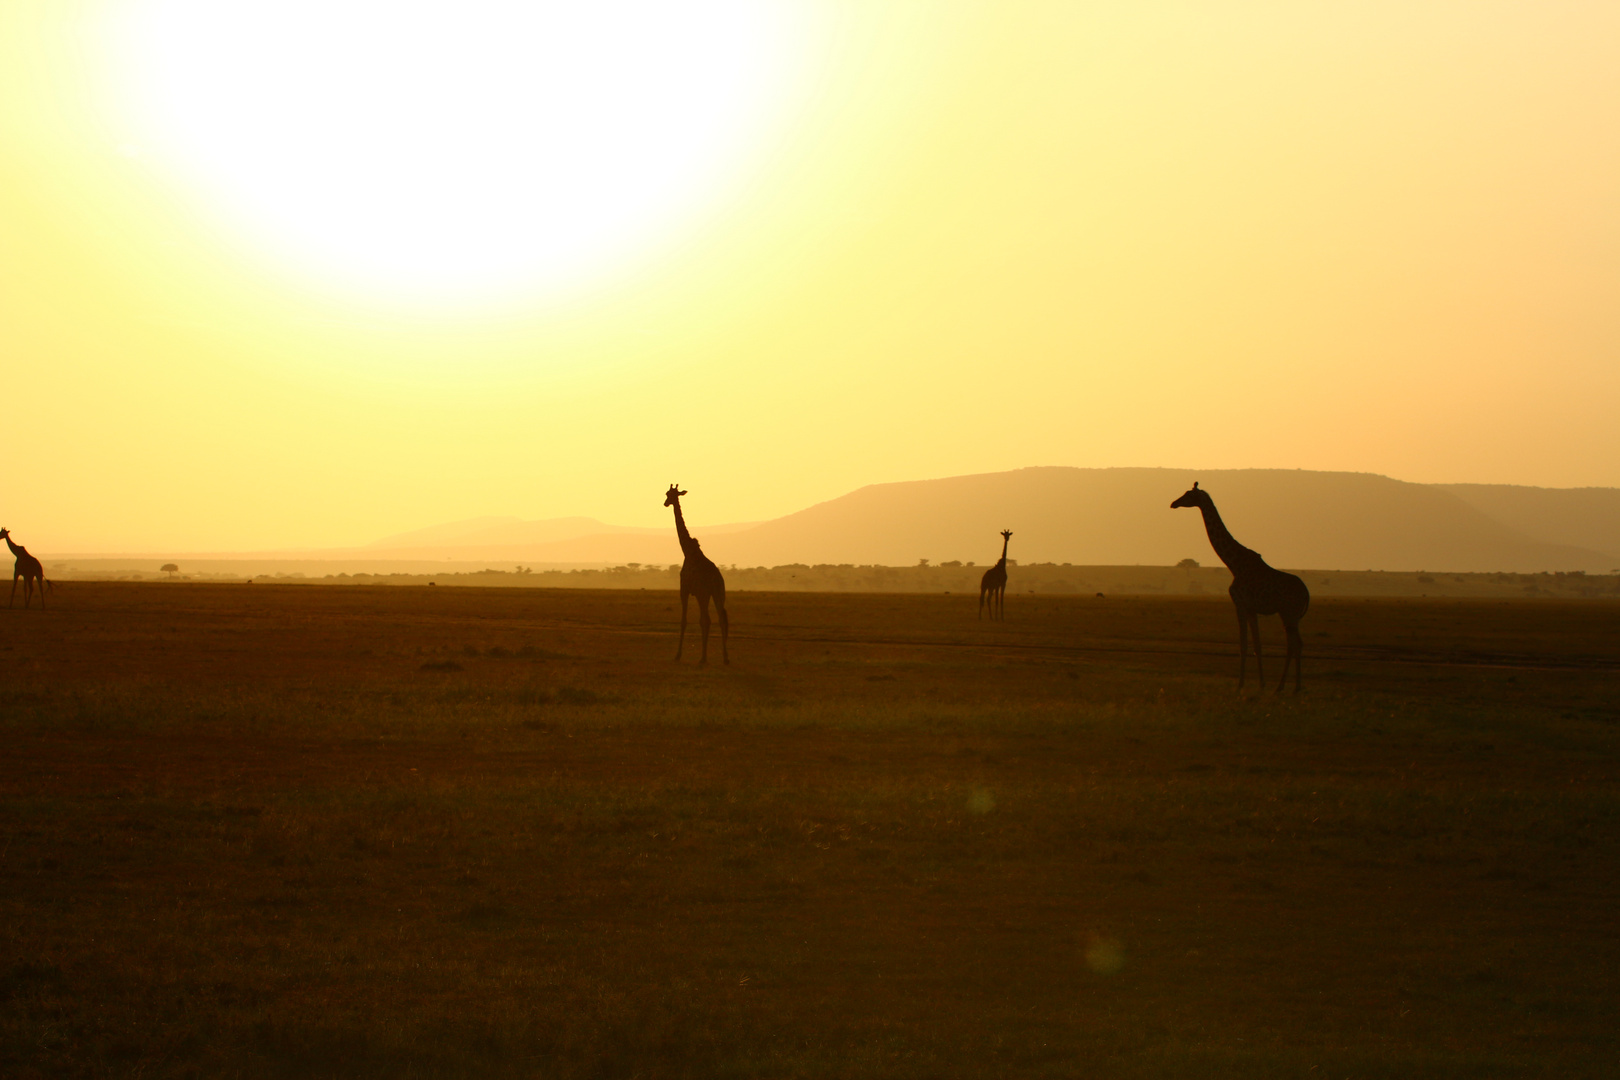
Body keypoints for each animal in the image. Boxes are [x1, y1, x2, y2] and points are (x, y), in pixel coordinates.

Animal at [660, 482, 732, 667]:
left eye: (671, 495)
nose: (665, 503)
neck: (687, 551)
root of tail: (717, 577)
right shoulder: (695, 592)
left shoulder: (685, 590)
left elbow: (685, 621)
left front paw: (678, 655)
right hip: (718, 593)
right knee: (721, 618)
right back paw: (725, 658)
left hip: (704, 594)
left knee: (707, 620)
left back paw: (704, 658)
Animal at [1172, 482, 1308, 693]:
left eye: (1188, 494)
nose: (1173, 503)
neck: (1233, 563)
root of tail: (1306, 593)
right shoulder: (1251, 608)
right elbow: (1256, 645)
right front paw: (1261, 684)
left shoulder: (1240, 604)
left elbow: (1244, 645)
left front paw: (1241, 685)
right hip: (1288, 614)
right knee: (1295, 643)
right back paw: (1284, 687)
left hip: (1289, 613)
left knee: (1295, 644)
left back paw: (1291, 688)